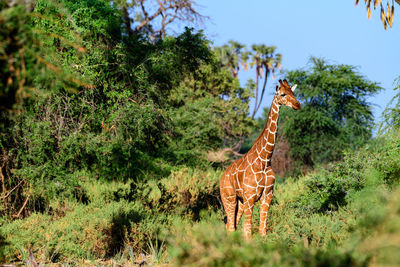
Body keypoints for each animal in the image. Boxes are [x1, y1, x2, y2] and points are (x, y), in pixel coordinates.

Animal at [219, 79, 300, 239]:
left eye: (294, 93)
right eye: (283, 94)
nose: (297, 105)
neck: (264, 160)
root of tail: (221, 177)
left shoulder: (267, 195)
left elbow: (262, 230)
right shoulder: (250, 197)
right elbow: (248, 231)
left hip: (240, 201)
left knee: (231, 226)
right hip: (229, 198)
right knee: (230, 227)